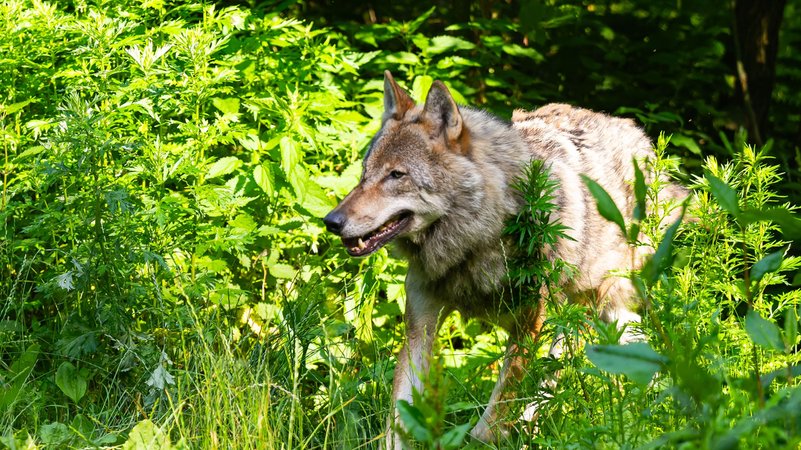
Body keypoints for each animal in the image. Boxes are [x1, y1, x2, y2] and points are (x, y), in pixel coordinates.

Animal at [323, 71, 687, 448]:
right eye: (365, 173)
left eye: (397, 175)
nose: (331, 221)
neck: (474, 244)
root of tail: (637, 134)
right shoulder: (420, 326)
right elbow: (397, 422)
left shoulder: (529, 326)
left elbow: (489, 424)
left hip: (588, 310)